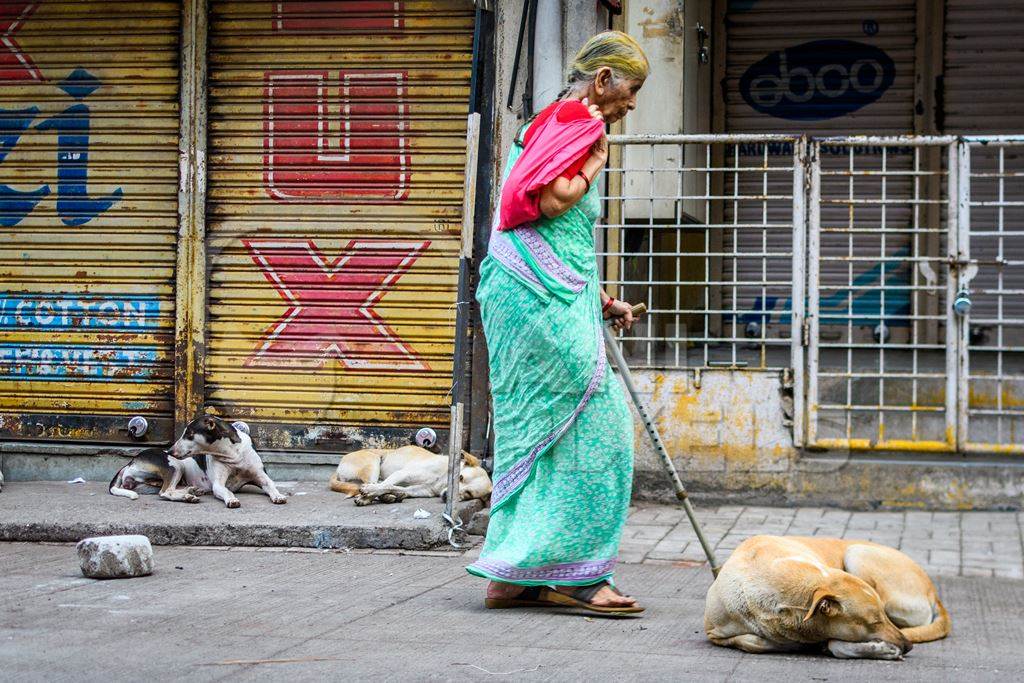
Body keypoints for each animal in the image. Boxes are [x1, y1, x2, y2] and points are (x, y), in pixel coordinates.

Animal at [108, 417, 288, 507]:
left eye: (189, 434)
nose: (170, 450)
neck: (233, 454)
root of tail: (131, 461)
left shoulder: (261, 476)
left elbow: (271, 485)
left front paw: (278, 495)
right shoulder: (218, 485)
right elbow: (226, 491)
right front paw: (231, 499)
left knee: (166, 489)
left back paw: (192, 490)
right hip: (175, 464)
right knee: (165, 492)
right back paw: (188, 496)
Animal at [325, 444, 489, 507]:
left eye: (468, 494)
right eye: (460, 477)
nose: (446, 496)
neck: (442, 479)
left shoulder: (418, 490)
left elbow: (392, 487)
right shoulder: (402, 473)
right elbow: (384, 485)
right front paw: (366, 495)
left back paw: (388, 497)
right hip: (373, 462)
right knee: (374, 482)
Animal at [704, 536, 950, 659]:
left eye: (883, 616)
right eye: (874, 622)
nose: (908, 646)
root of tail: (933, 592)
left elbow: (834, 644)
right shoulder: (713, 633)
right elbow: (750, 641)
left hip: (856, 553)